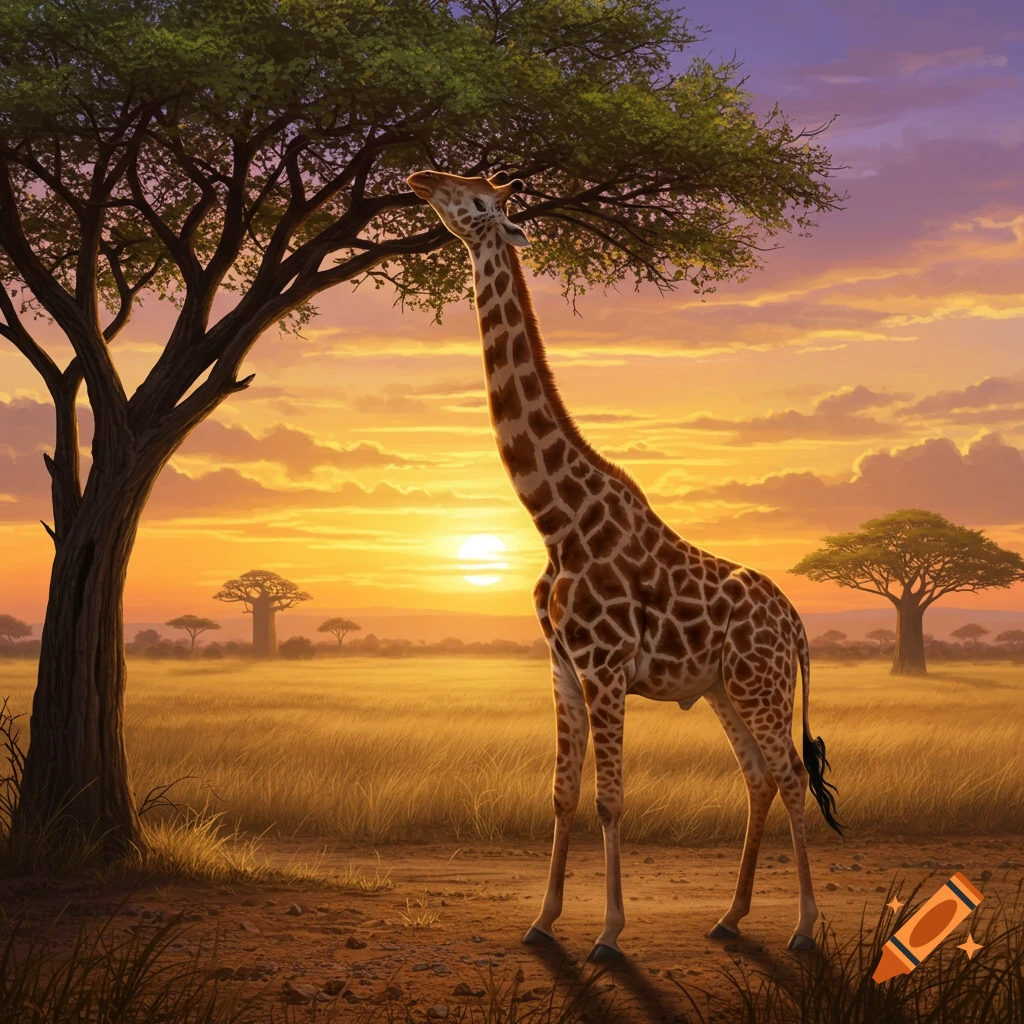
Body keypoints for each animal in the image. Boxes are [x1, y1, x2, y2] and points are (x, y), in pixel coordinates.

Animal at [406, 169, 843, 963]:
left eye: (479, 201)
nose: (421, 177)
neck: (556, 519)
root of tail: (797, 625)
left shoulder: (605, 667)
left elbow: (610, 799)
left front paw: (609, 933)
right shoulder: (562, 667)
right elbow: (562, 794)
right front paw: (543, 920)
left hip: (760, 684)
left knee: (793, 776)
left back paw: (801, 925)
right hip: (723, 687)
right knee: (759, 776)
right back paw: (730, 916)